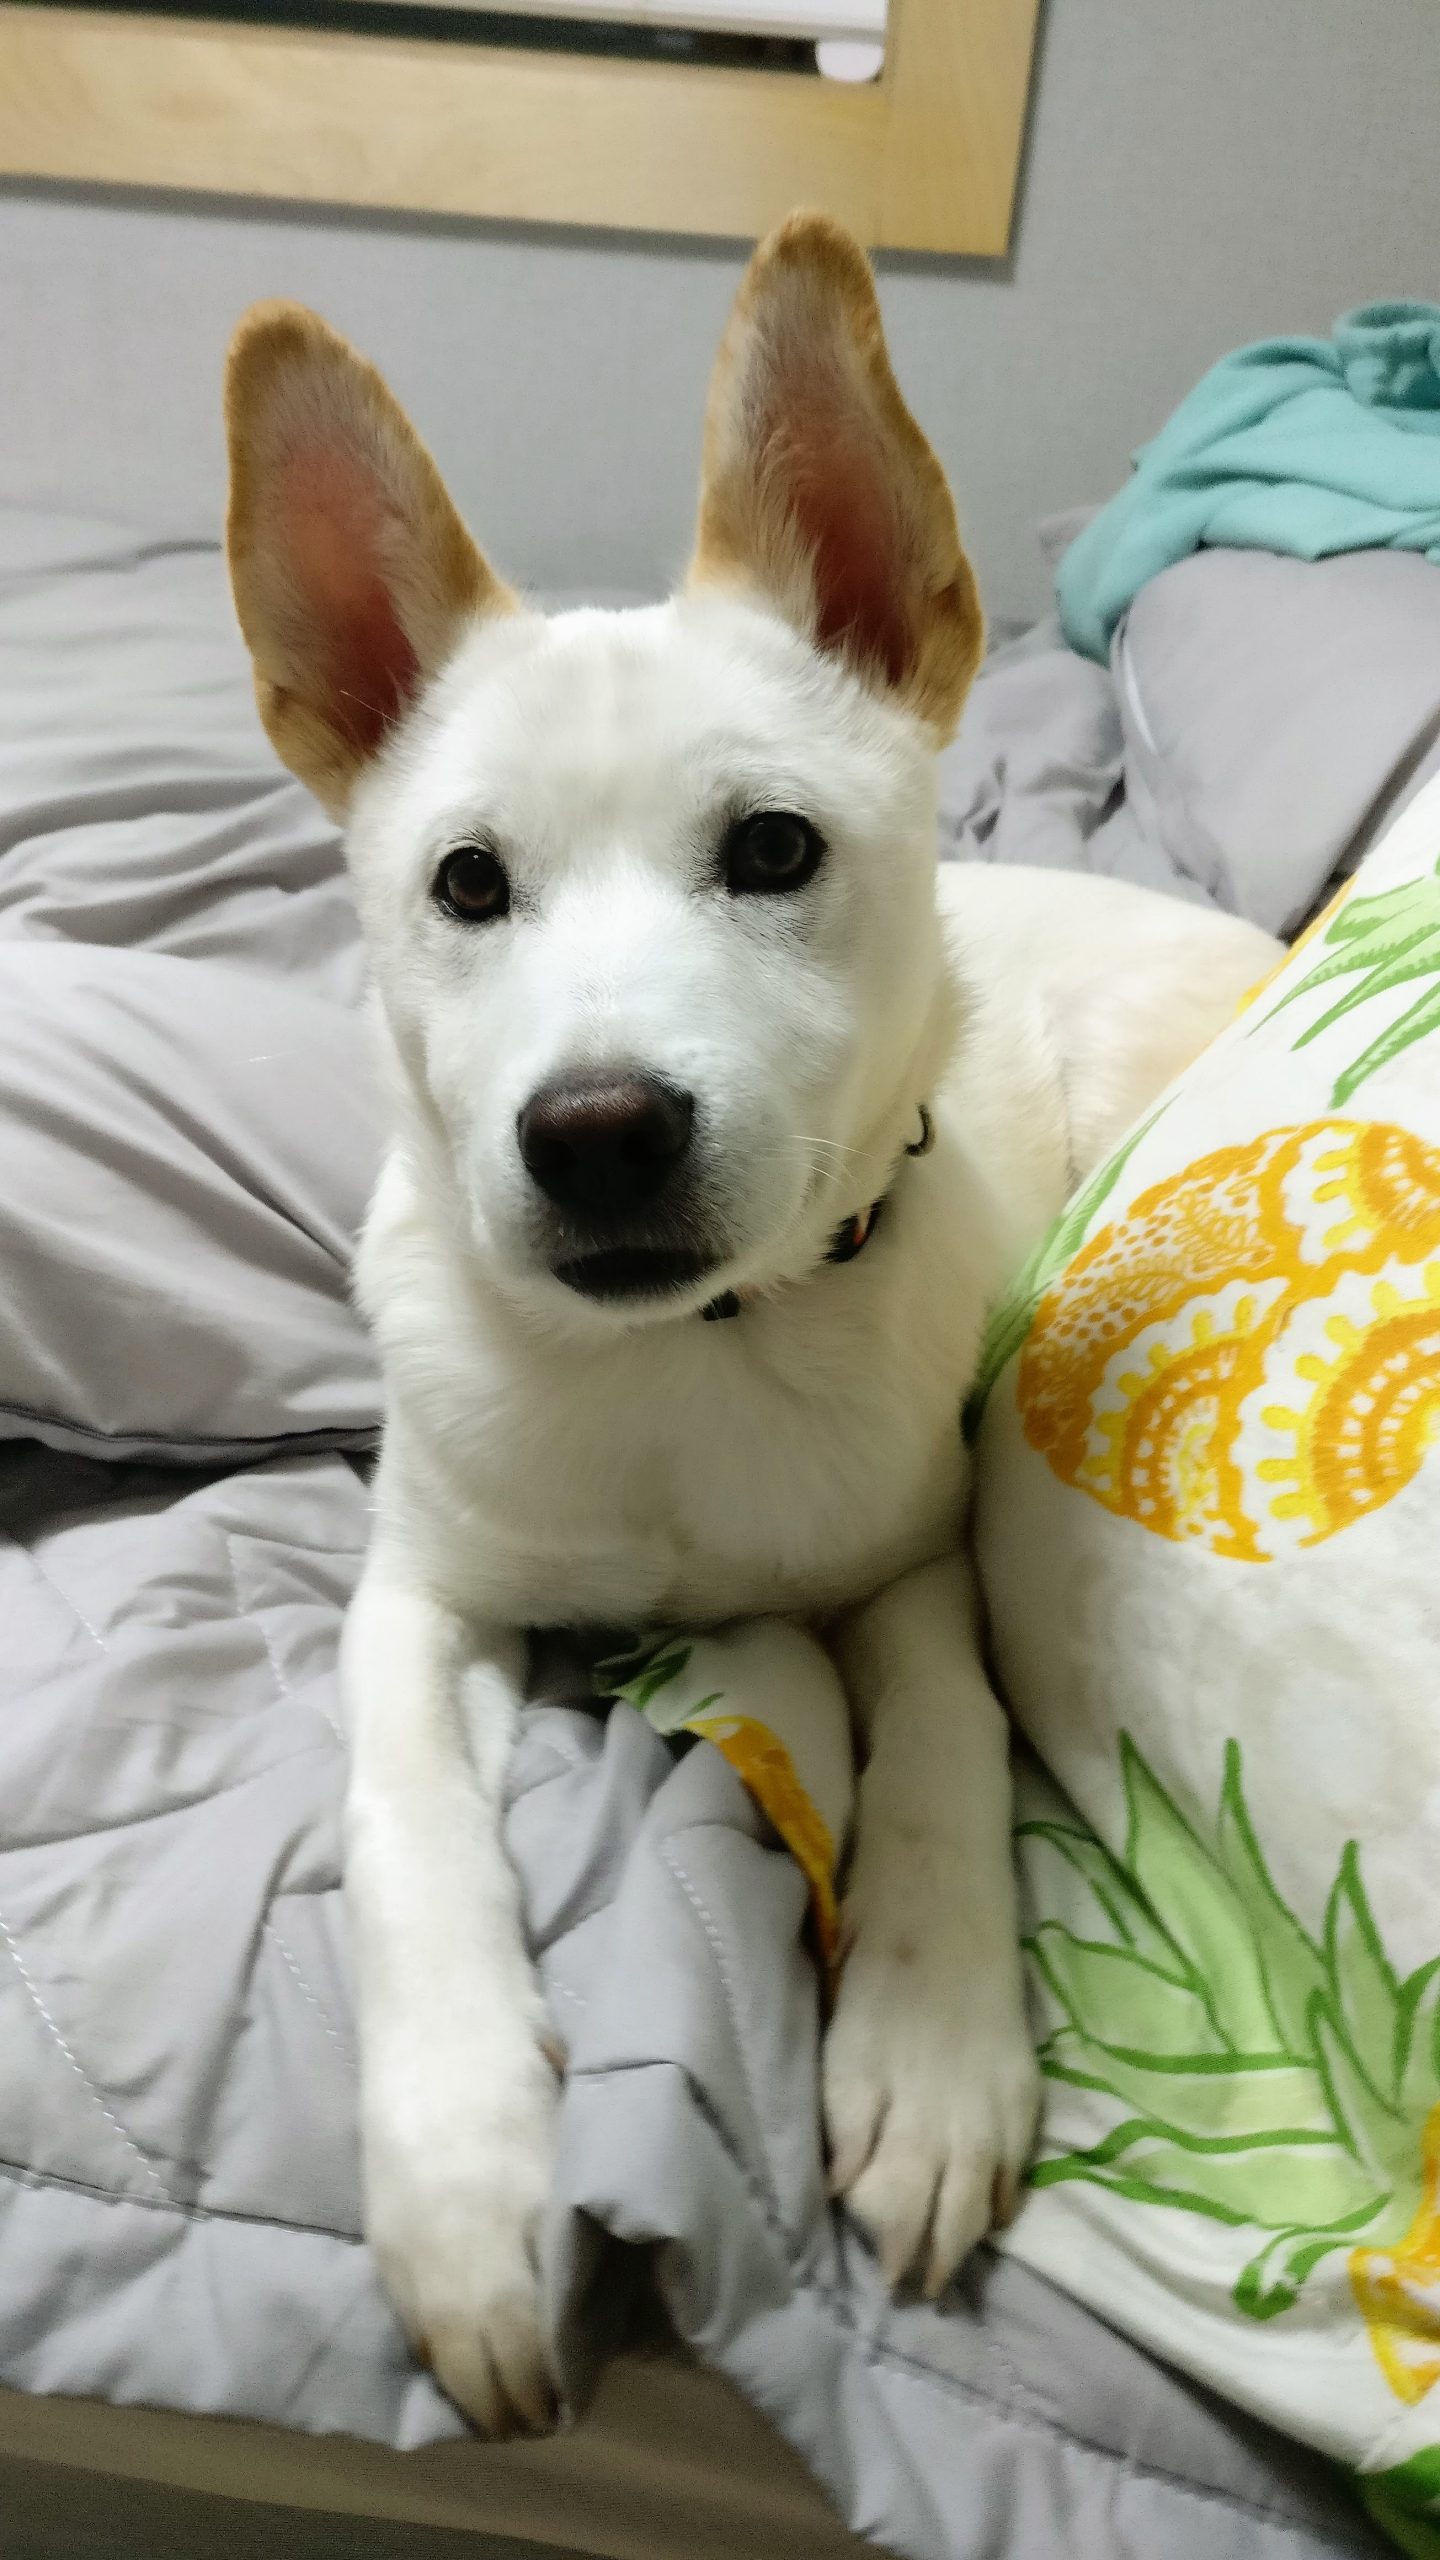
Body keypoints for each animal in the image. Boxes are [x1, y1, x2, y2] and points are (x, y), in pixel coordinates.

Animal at [224, 212, 1278, 2437]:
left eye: (775, 848)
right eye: (466, 885)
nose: (599, 1135)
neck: (682, 1362)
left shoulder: (915, 1559)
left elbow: (952, 1729)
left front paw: (935, 2042)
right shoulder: (415, 1589)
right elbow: (409, 1818)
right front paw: (463, 2174)